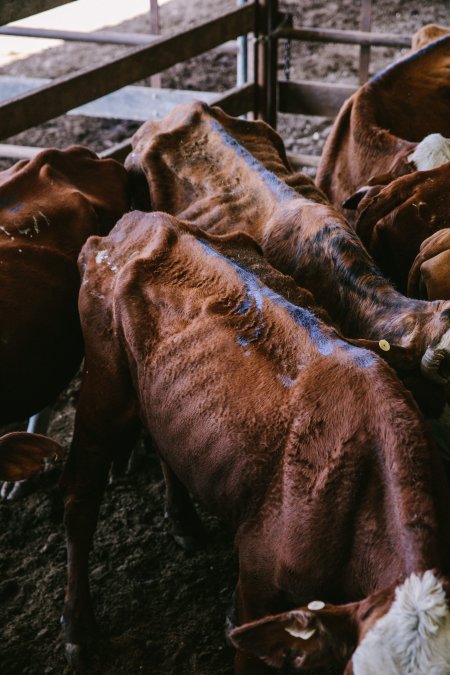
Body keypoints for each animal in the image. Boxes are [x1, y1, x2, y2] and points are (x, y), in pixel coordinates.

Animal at [60, 211, 450, 675]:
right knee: (79, 502)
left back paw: (183, 521)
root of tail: (140, 220)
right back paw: (77, 628)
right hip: (103, 391)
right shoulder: (258, 583)